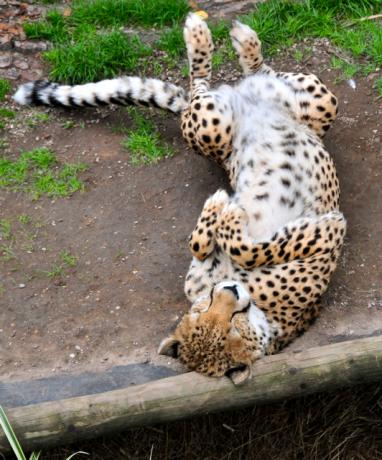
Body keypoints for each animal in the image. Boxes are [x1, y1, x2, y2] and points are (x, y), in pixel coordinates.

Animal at [12, 13, 346, 384]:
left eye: (233, 325)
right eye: (204, 313)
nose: (230, 292)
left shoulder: (326, 241)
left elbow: (255, 247)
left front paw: (227, 213)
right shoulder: (201, 278)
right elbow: (200, 245)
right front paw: (218, 210)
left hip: (304, 104)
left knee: (223, 79)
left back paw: (212, 35)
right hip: (227, 124)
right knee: (228, 80)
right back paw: (224, 38)